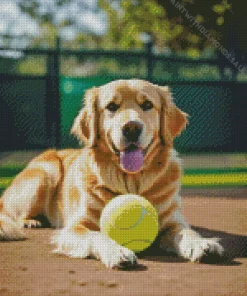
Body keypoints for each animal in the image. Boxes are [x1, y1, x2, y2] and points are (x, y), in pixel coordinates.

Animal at [0, 79, 224, 268]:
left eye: (147, 105)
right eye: (111, 107)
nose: (132, 127)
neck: (131, 182)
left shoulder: (173, 222)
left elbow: (187, 232)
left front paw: (202, 244)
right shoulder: (75, 228)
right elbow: (96, 236)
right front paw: (117, 251)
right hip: (45, 173)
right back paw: (31, 221)